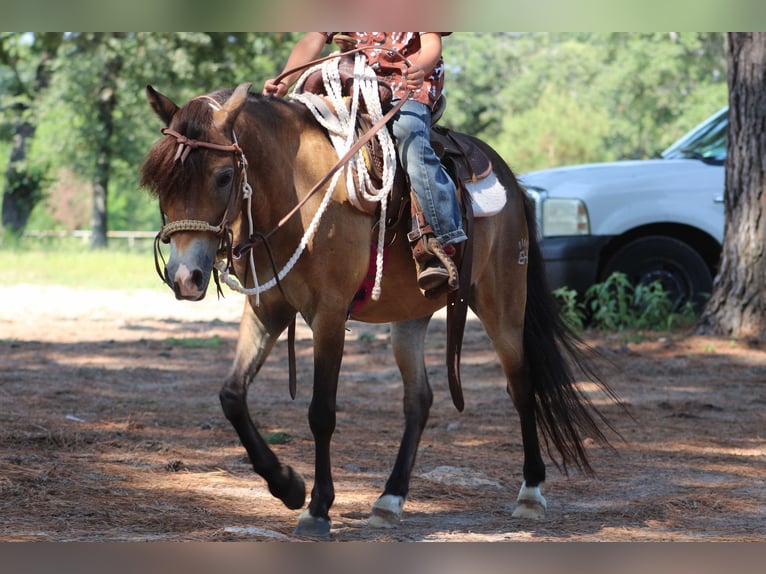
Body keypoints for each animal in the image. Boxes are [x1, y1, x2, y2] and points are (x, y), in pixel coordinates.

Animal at [141, 79, 620, 536]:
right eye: (162, 183)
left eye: (223, 176)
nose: (185, 277)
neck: (294, 188)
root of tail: (511, 181)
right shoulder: (267, 309)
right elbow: (232, 396)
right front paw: (288, 485)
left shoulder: (329, 315)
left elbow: (321, 412)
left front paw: (317, 508)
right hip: (411, 316)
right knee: (419, 400)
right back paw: (389, 500)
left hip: (502, 303)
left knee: (521, 385)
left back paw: (531, 493)